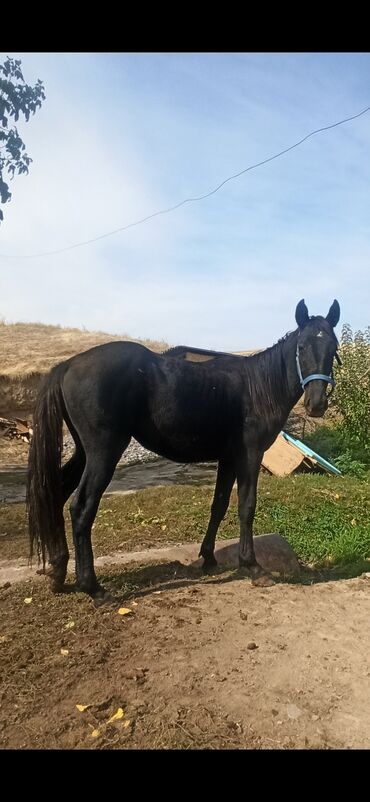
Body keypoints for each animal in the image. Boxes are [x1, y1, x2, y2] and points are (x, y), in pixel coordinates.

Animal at [27, 296, 342, 596]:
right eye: (301, 346)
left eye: (333, 348)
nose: (316, 404)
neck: (257, 387)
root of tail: (68, 365)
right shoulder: (250, 455)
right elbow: (247, 506)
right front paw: (252, 567)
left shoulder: (229, 458)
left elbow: (219, 505)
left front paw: (209, 559)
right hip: (103, 452)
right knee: (82, 507)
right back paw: (91, 587)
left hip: (84, 452)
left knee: (56, 494)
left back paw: (58, 572)